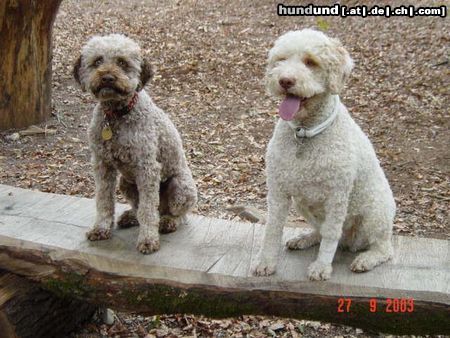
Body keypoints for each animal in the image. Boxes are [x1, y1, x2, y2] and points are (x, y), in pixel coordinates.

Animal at [73, 35, 197, 255]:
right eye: (97, 61)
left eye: (122, 62)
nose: (107, 77)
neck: (116, 115)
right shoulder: (102, 165)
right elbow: (104, 201)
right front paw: (101, 228)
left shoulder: (147, 168)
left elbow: (148, 210)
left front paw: (148, 240)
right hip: (126, 183)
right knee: (140, 207)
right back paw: (131, 216)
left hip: (180, 186)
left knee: (175, 214)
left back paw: (167, 222)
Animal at [255, 29, 396, 282]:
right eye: (281, 59)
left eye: (311, 62)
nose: (285, 81)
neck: (304, 134)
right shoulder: (278, 191)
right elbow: (272, 228)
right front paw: (266, 262)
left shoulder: (336, 196)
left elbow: (331, 233)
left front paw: (321, 267)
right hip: (302, 204)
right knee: (323, 232)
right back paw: (305, 238)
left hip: (374, 211)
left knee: (383, 248)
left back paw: (366, 259)